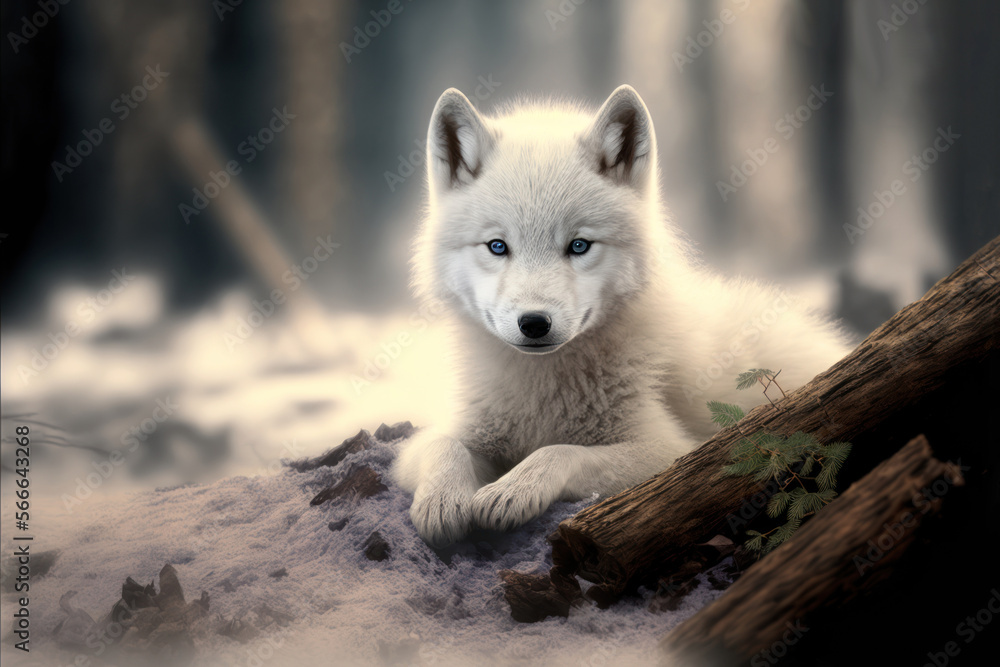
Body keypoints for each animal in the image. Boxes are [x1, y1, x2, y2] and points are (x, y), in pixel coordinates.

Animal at [392, 85, 851, 546]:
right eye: (497, 246)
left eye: (579, 246)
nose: (534, 323)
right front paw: (441, 503)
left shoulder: (674, 452)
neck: (544, 396)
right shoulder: (445, 436)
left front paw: (512, 490)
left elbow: (559, 452)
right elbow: (443, 446)